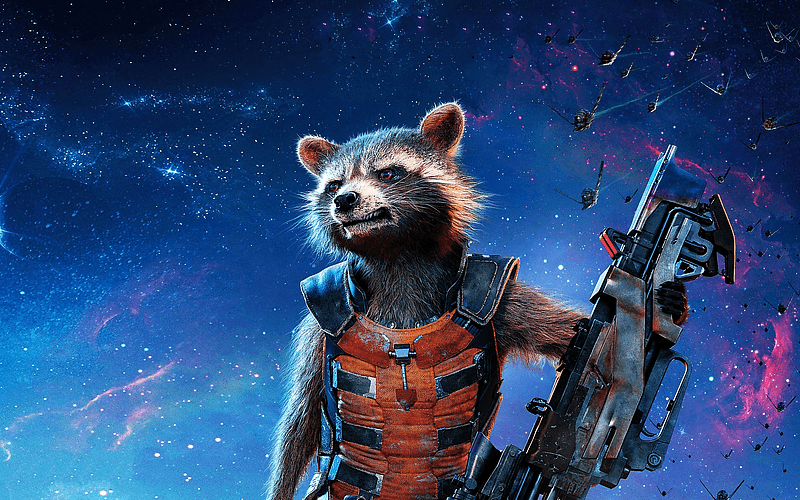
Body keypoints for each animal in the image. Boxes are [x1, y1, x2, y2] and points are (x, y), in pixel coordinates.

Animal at [266, 103, 585, 500]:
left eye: (387, 173)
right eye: (334, 185)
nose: (344, 200)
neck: (396, 254)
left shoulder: (502, 297)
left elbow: (570, 332)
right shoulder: (319, 317)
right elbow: (303, 417)